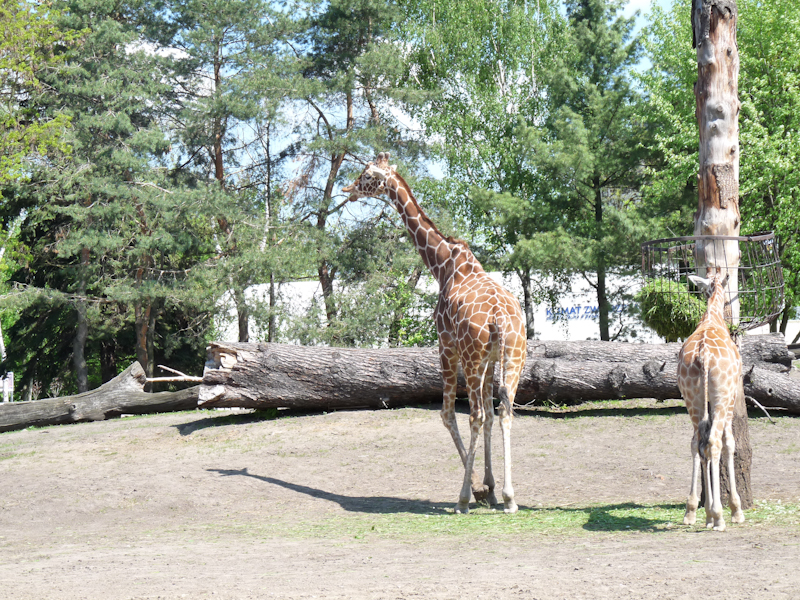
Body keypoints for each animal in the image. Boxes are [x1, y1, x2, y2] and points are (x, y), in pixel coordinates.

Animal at [343, 152, 527, 514]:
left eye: (367, 175)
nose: (348, 189)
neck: (442, 266)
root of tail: (500, 318)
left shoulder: (445, 345)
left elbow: (447, 414)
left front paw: (476, 489)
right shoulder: (488, 360)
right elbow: (488, 415)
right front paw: (490, 489)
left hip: (471, 358)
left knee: (475, 414)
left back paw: (462, 500)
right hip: (514, 356)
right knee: (503, 411)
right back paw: (510, 498)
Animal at [677, 269, 745, 531]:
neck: (712, 317)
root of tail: (703, 354)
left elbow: (700, 445)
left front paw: (703, 513)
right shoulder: (732, 395)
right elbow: (729, 443)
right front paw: (735, 510)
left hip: (691, 399)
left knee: (697, 442)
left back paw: (693, 512)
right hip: (722, 397)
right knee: (714, 442)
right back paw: (720, 516)